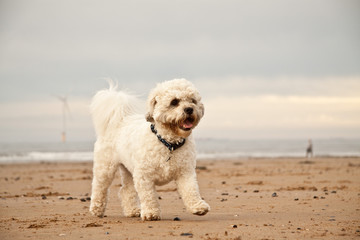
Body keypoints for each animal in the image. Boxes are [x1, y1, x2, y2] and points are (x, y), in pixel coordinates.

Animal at [88, 79, 210, 221]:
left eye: (192, 100)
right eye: (174, 102)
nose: (189, 109)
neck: (168, 143)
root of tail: (119, 121)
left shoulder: (185, 172)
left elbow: (191, 189)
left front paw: (198, 206)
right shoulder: (143, 175)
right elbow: (148, 196)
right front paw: (151, 213)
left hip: (128, 169)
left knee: (126, 190)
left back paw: (133, 211)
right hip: (105, 168)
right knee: (99, 187)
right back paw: (97, 209)